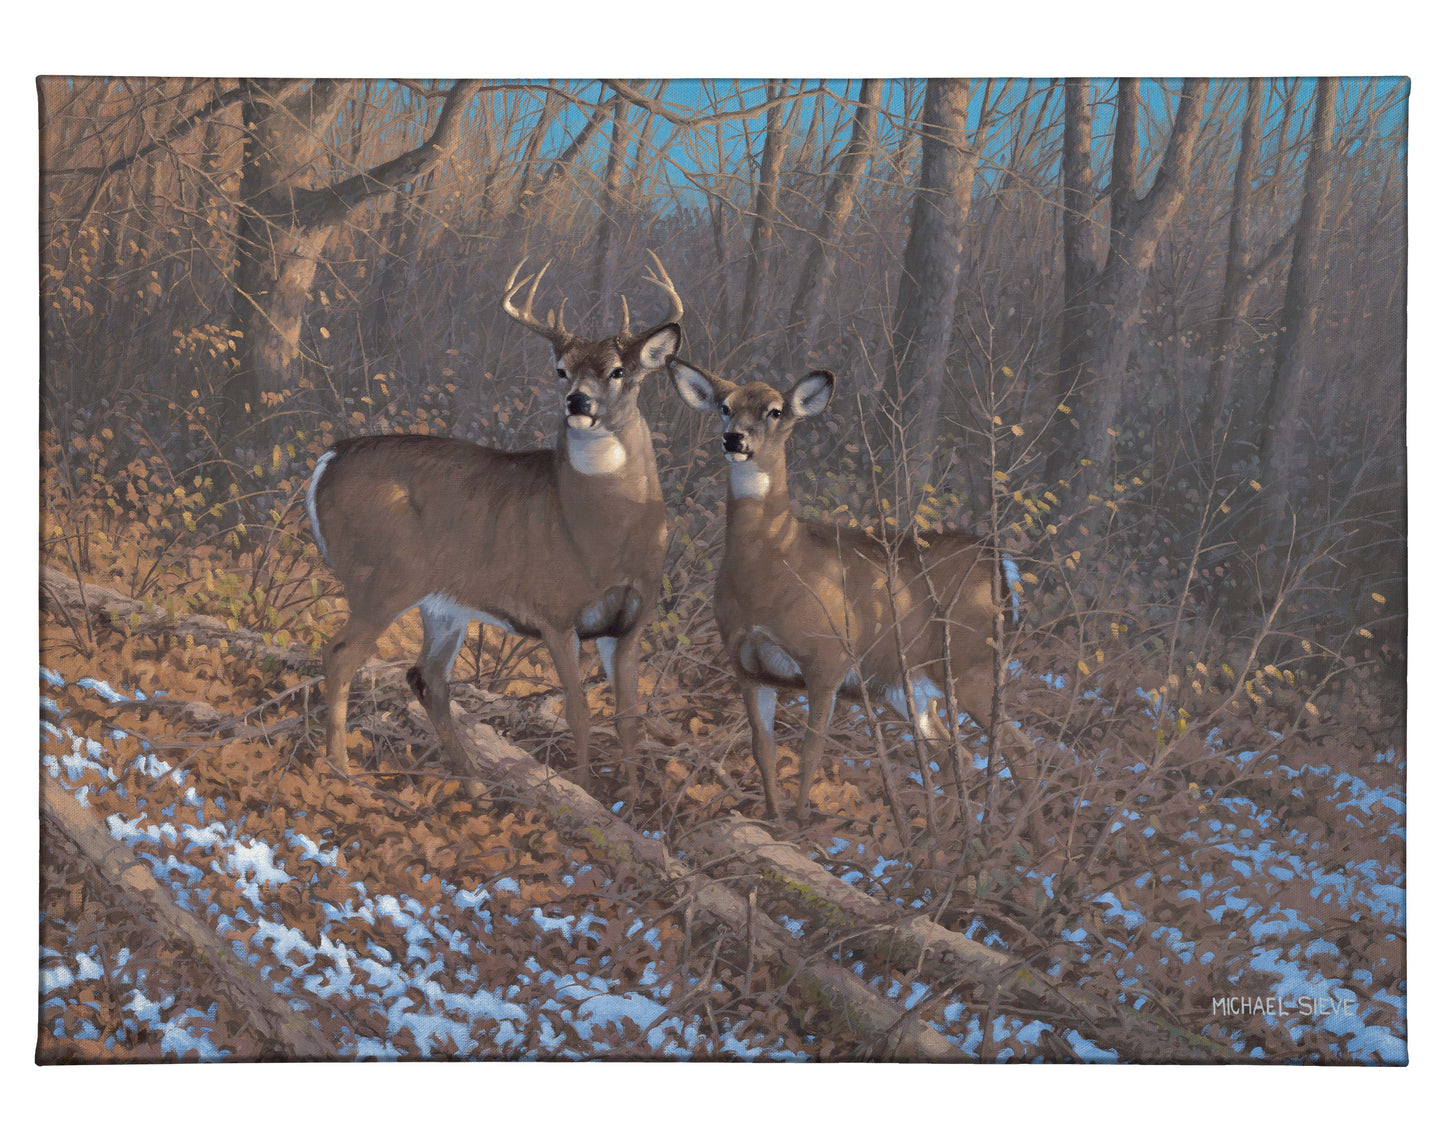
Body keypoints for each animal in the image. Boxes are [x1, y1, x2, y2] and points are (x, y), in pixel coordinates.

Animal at [307, 253, 684, 797]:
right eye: (561, 370)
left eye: (618, 371)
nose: (577, 402)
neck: (606, 538)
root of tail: (328, 460)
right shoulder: (554, 612)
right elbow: (578, 711)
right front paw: (581, 790)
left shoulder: (629, 623)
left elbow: (628, 717)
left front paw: (629, 800)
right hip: (382, 577)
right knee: (340, 654)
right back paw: (343, 771)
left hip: (443, 602)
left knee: (426, 676)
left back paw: (473, 783)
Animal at [670, 359, 1028, 826]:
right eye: (724, 407)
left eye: (775, 411)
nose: (735, 439)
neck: (775, 566)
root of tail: (1000, 565)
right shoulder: (746, 667)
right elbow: (763, 750)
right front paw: (772, 817)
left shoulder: (828, 658)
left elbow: (811, 749)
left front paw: (800, 822)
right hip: (908, 687)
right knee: (957, 756)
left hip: (972, 667)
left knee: (1019, 749)